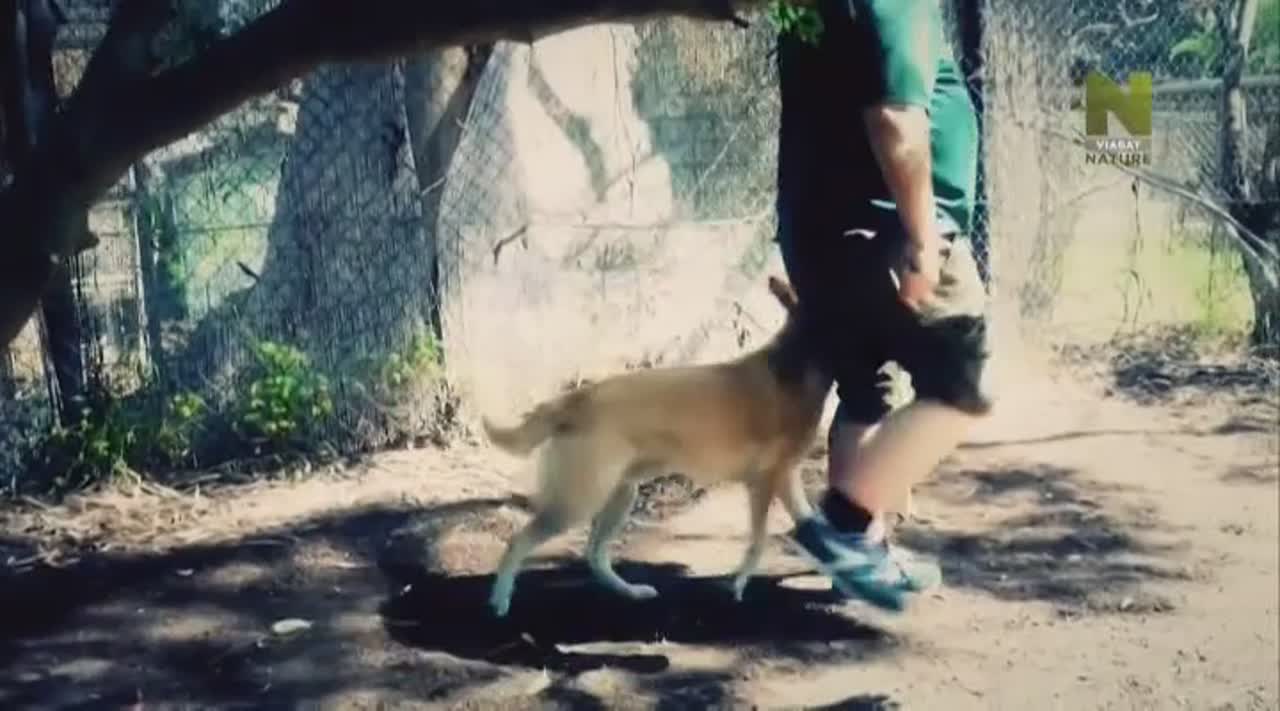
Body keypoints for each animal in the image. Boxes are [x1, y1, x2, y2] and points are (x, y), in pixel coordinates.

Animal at [481, 276, 834, 618]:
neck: (795, 361)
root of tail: (571, 400)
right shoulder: (765, 482)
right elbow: (758, 541)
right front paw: (739, 585)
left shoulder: (786, 479)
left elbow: (812, 526)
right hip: (578, 503)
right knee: (519, 542)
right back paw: (500, 600)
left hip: (620, 495)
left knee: (595, 554)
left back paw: (630, 592)